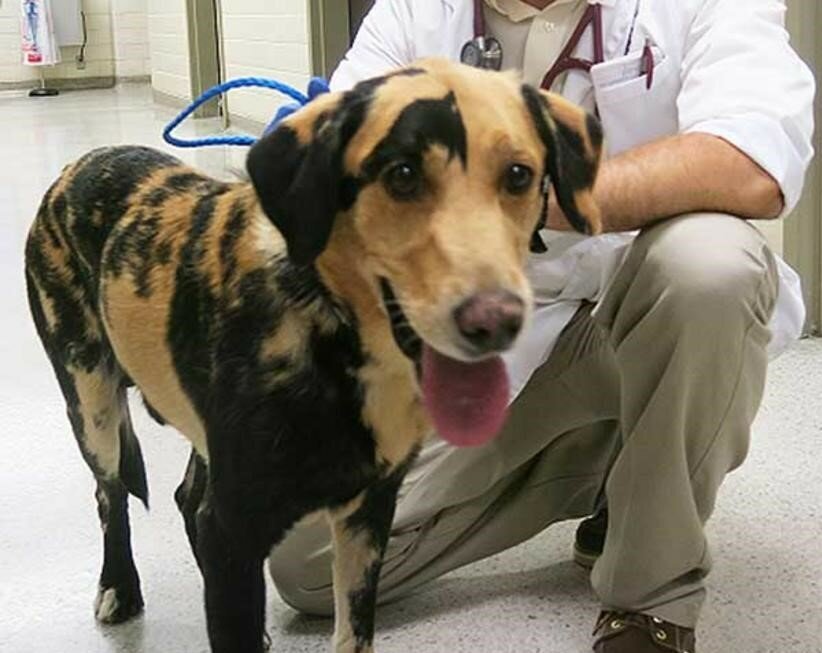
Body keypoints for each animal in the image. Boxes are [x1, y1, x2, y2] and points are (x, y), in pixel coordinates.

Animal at [24, 58, 602, 653]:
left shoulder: (368, 515)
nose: (495, 321)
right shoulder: (236, 526)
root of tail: (78, 165)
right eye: (401, 174)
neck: (334, 332)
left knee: (187, 498)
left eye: (518, 175)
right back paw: (119, 586)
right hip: (91, 401)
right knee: (110, 492)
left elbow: (353, 632)